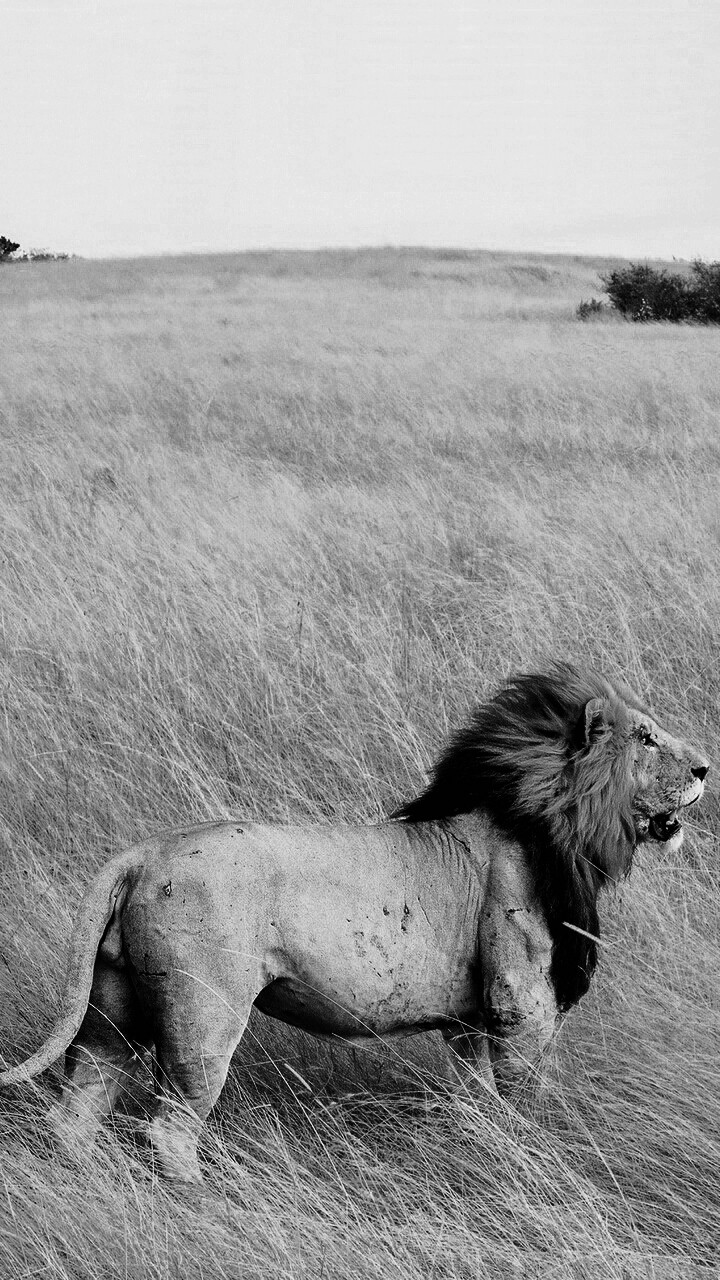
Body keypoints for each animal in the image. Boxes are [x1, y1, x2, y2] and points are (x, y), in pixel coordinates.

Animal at [0, 664, 709, 1183]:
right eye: (647, 738)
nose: (705, 769)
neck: (552, 825)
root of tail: (143, 853)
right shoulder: (520, 1002)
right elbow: (519, 1100)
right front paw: (528, 1162)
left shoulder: (468, 1021)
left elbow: (476, 1100)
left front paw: (479, 1152)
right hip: (204, 1014)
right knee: (169, 1127)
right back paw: (204, 1199)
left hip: (111, 1009)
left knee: (77, 1110)